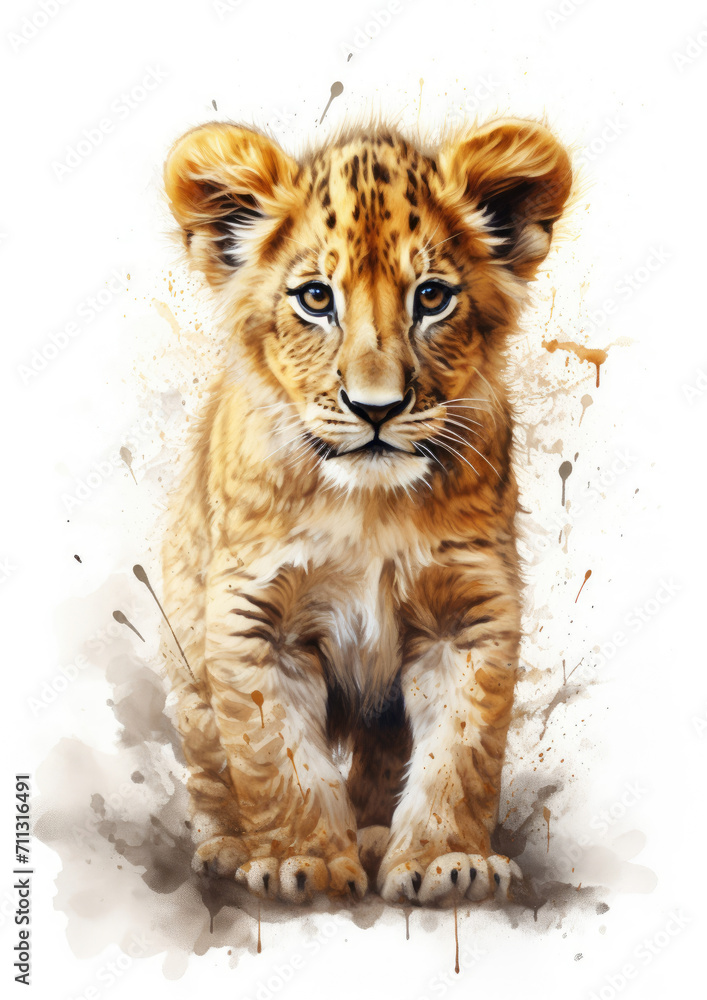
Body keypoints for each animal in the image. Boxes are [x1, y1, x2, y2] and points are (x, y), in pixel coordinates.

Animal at [160, 117, 572, 905]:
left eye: (432, 297)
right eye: (316, 299)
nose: (375, 409)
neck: (368, 507)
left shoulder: (468, 611)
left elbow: (459, 753)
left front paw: (448, 862)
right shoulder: (254, 618)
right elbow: (276, 756)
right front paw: (303, 863)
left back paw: (376, 834)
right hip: (190, 657)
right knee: (210, 763)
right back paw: (228, 846)